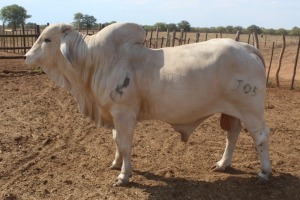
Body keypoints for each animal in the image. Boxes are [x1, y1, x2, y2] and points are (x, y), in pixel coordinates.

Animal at [24, 22, 270, 187]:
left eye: (47, 39)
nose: (26, 56)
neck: (96, 62)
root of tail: (246, 47)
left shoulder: (124, 113)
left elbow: (124, 144)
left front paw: (124, 175)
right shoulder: (114, 114)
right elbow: (116, 140)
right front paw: (116, 163)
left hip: (251, 109)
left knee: (260, 136)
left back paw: (264, 172)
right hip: (233, 111)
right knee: (232, 134)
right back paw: (222, 164)